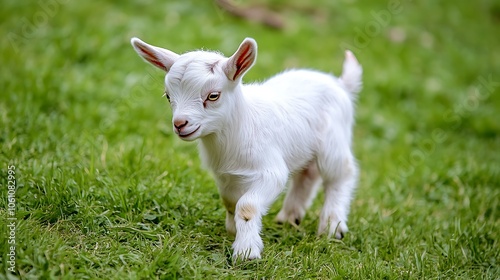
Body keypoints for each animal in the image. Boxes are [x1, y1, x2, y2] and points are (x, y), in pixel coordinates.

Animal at [131, 37, 362, 260]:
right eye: (168, 96)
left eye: (213, 95)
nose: (180, 124)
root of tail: (340, 84)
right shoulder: (226, 176)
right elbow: (230, 202)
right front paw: (234, 230)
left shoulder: (271, 172)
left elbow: (247, 206)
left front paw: (246, 251)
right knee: (308, 174)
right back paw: (289, 217)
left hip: (333, 140)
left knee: (341, 173)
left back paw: (332, 225)